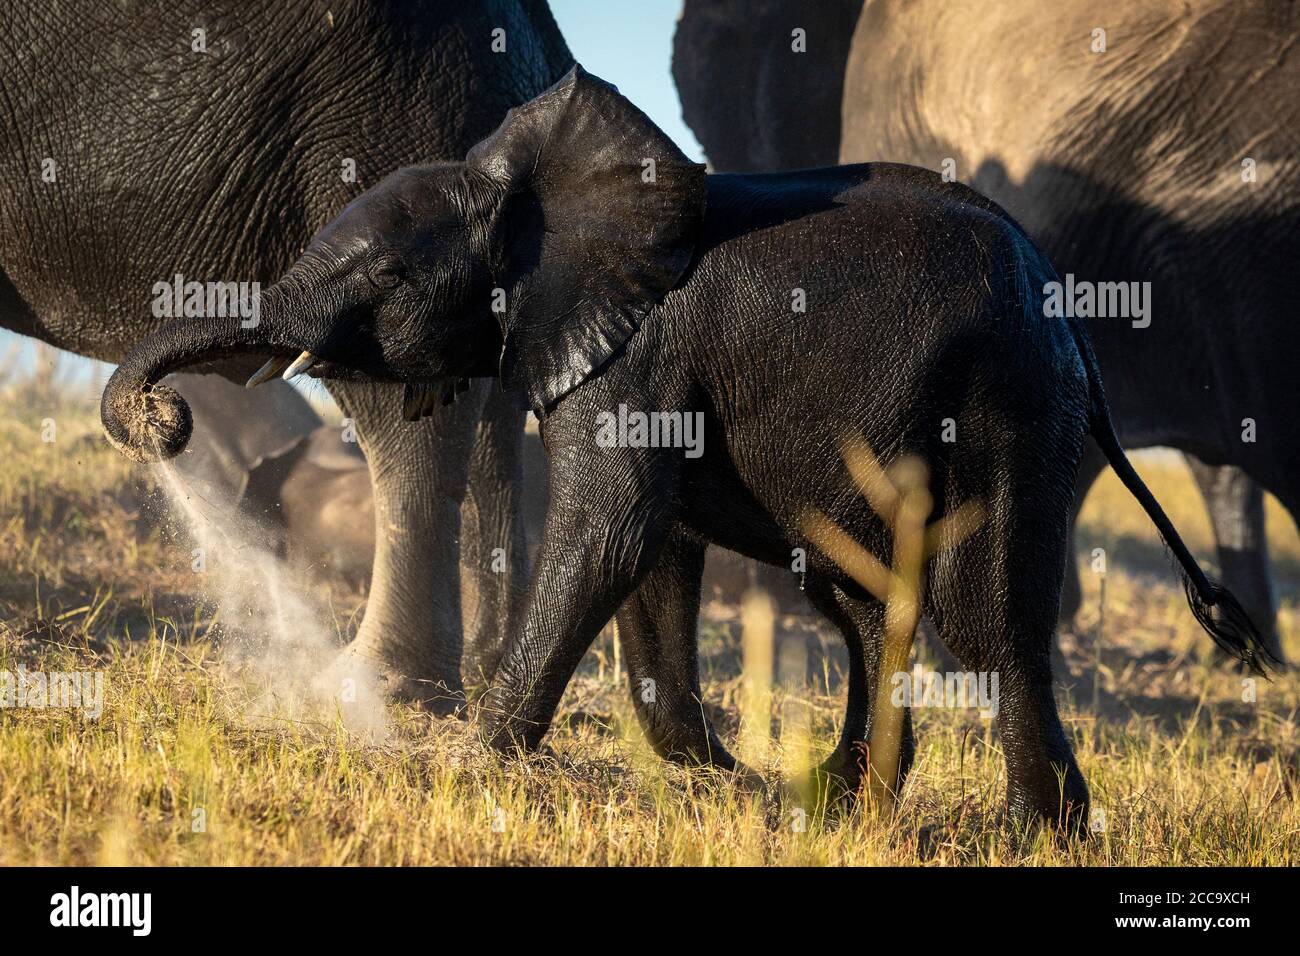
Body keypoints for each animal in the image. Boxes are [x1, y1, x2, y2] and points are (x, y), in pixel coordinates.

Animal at [99, 66, 1273, 826]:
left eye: (386, 278)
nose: (164, 420)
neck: (530, 187)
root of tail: (1075, 322)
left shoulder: (637, 347)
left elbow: (612, 529)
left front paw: (473, 761)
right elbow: (651, 550)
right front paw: (724, 778)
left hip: (1011, 404)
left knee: (982, 618)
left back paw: (1030, 835)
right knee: (865, 607)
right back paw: (839, 807)